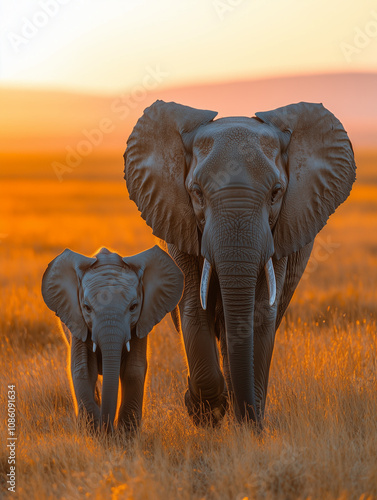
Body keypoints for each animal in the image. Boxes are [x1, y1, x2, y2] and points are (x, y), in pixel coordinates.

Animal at [42, 245, 184, 430]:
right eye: (87, 307)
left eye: (133, 307)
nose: (108, 429)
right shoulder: (77, 320)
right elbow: (83, 369)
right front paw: (94, 431)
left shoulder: (142, 320)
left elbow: (133, 370)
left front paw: (125, 433)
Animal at [124, 100, 356, 426]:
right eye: (196, 192)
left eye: (276, 192)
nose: (254, 421)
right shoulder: (179, 223)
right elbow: (194, 307)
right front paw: (207, 411)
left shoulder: (281, 233)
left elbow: (260, 314)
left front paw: (246, 423)